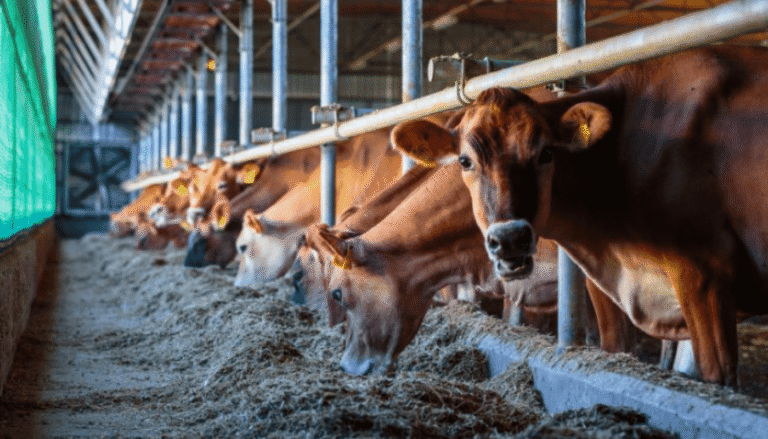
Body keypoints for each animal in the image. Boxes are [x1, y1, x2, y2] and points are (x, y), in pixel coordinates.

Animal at [390, 46, 768, 386]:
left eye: (546, 152)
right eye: (465, 161)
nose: (510, 239)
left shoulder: (704, 274)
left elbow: (715, 376)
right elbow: (617, 346)